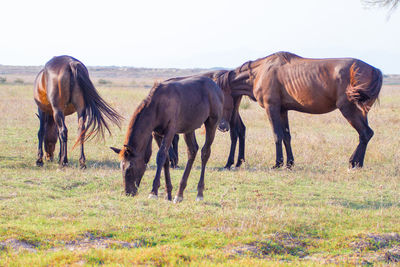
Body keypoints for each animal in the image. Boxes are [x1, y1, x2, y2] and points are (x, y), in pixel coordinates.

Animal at [217, 51, 382, 170]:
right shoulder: (283, 111)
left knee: (365, 133)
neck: (261, 72)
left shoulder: (272, 108)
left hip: (348, 109)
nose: (222, 126)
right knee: (365, 135)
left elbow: (277, 135)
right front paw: (289, 163)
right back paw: (357, 163)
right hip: (361, 111)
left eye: (224, 103)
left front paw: (277, 163)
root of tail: (374, 70)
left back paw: (354, 163)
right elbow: (286, 137)